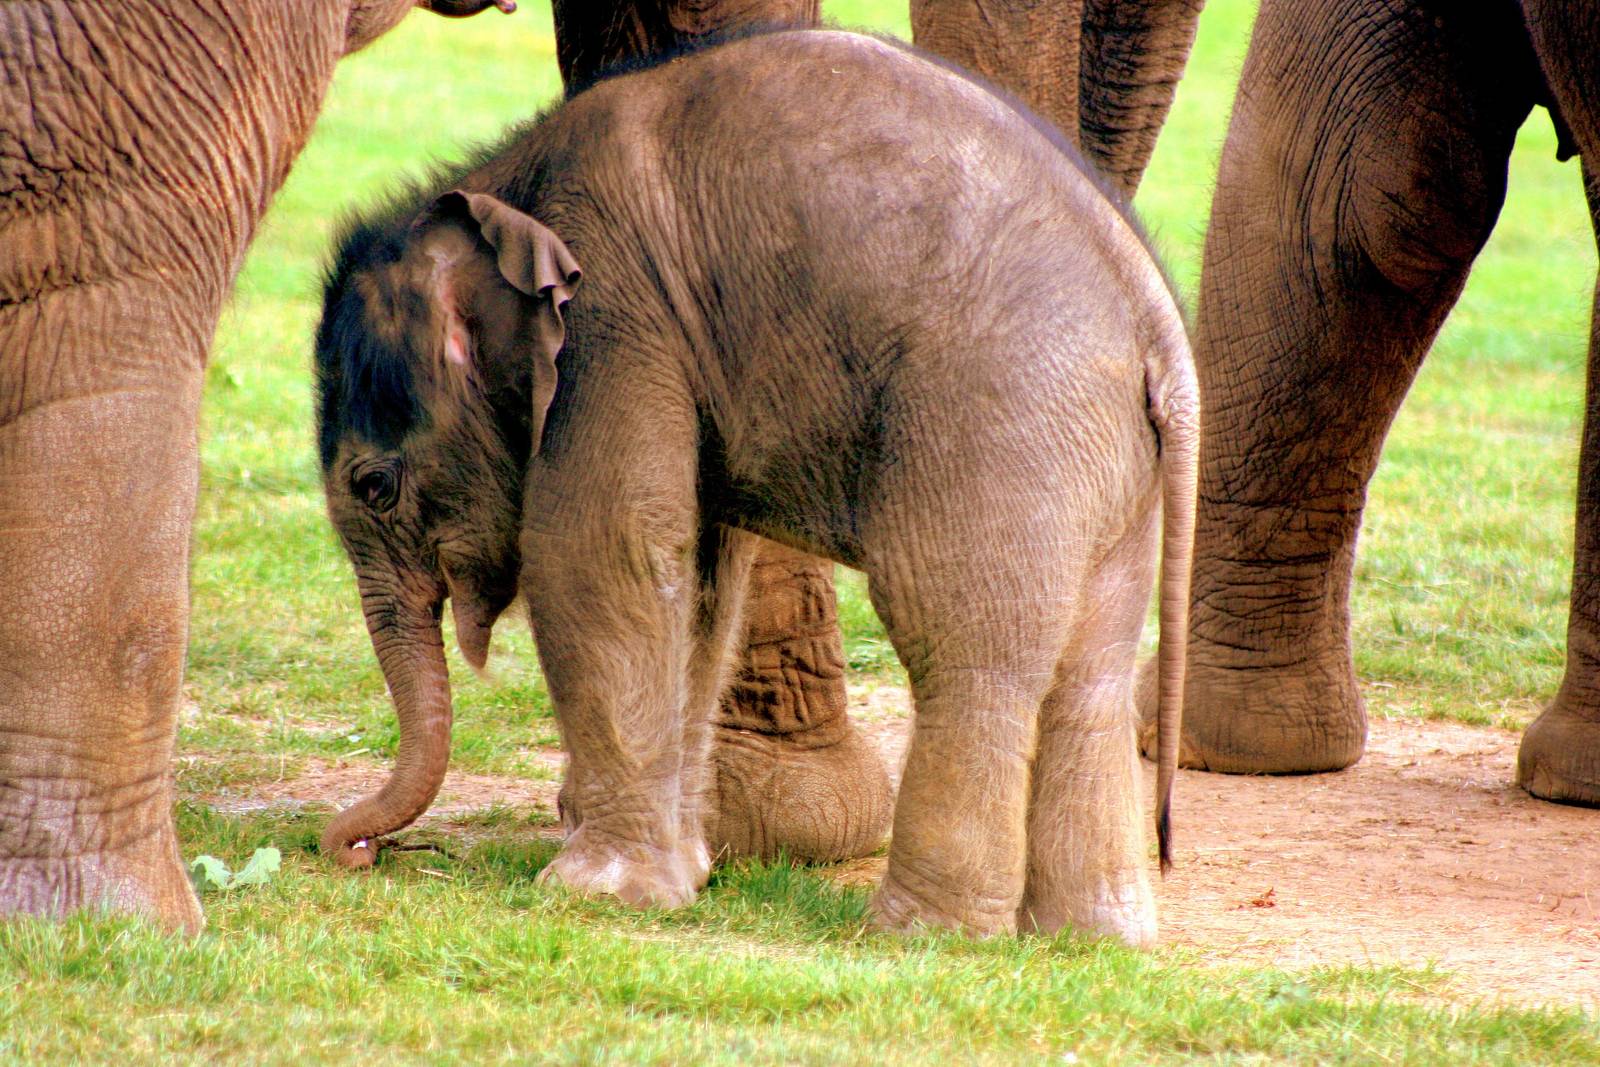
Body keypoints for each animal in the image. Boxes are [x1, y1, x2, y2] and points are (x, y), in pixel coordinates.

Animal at [312, 29, 1199, 941]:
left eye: (374, 484)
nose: (353, 852)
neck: (505, 183)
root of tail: (1154, 321)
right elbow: (700, 583)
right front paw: (682, 878)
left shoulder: (614, 320)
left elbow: (599, 550)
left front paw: (589, 893)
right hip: (1106, 460)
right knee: (1090, 667)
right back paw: (1089, 939)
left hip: (1001, 416)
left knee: (961, 641)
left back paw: (916, 935)